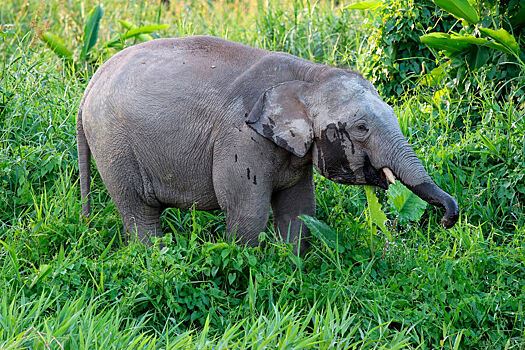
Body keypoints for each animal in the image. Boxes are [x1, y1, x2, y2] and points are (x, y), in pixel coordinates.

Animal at [75, 35, 456, 253]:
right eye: (361, 127)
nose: (447, 219)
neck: (308, 75)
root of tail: (91, 83)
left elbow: (298, 209)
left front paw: (289, 266)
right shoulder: (241, 138)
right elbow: (248, 212)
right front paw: (249, 264)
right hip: (114, 146)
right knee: (139, 210)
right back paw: (157, 259)